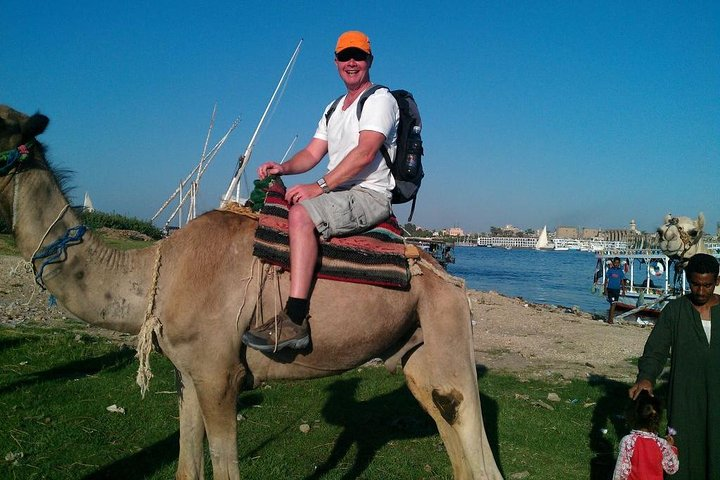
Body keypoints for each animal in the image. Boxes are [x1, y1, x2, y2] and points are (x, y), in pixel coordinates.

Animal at [0, 105, 503, 480]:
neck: (156, 275)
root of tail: (438, 264)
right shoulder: (189, 374)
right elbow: (187, 469)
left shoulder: (220, 376)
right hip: (417, 352)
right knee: (446, 419)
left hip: (447, 320)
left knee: (472, 435)